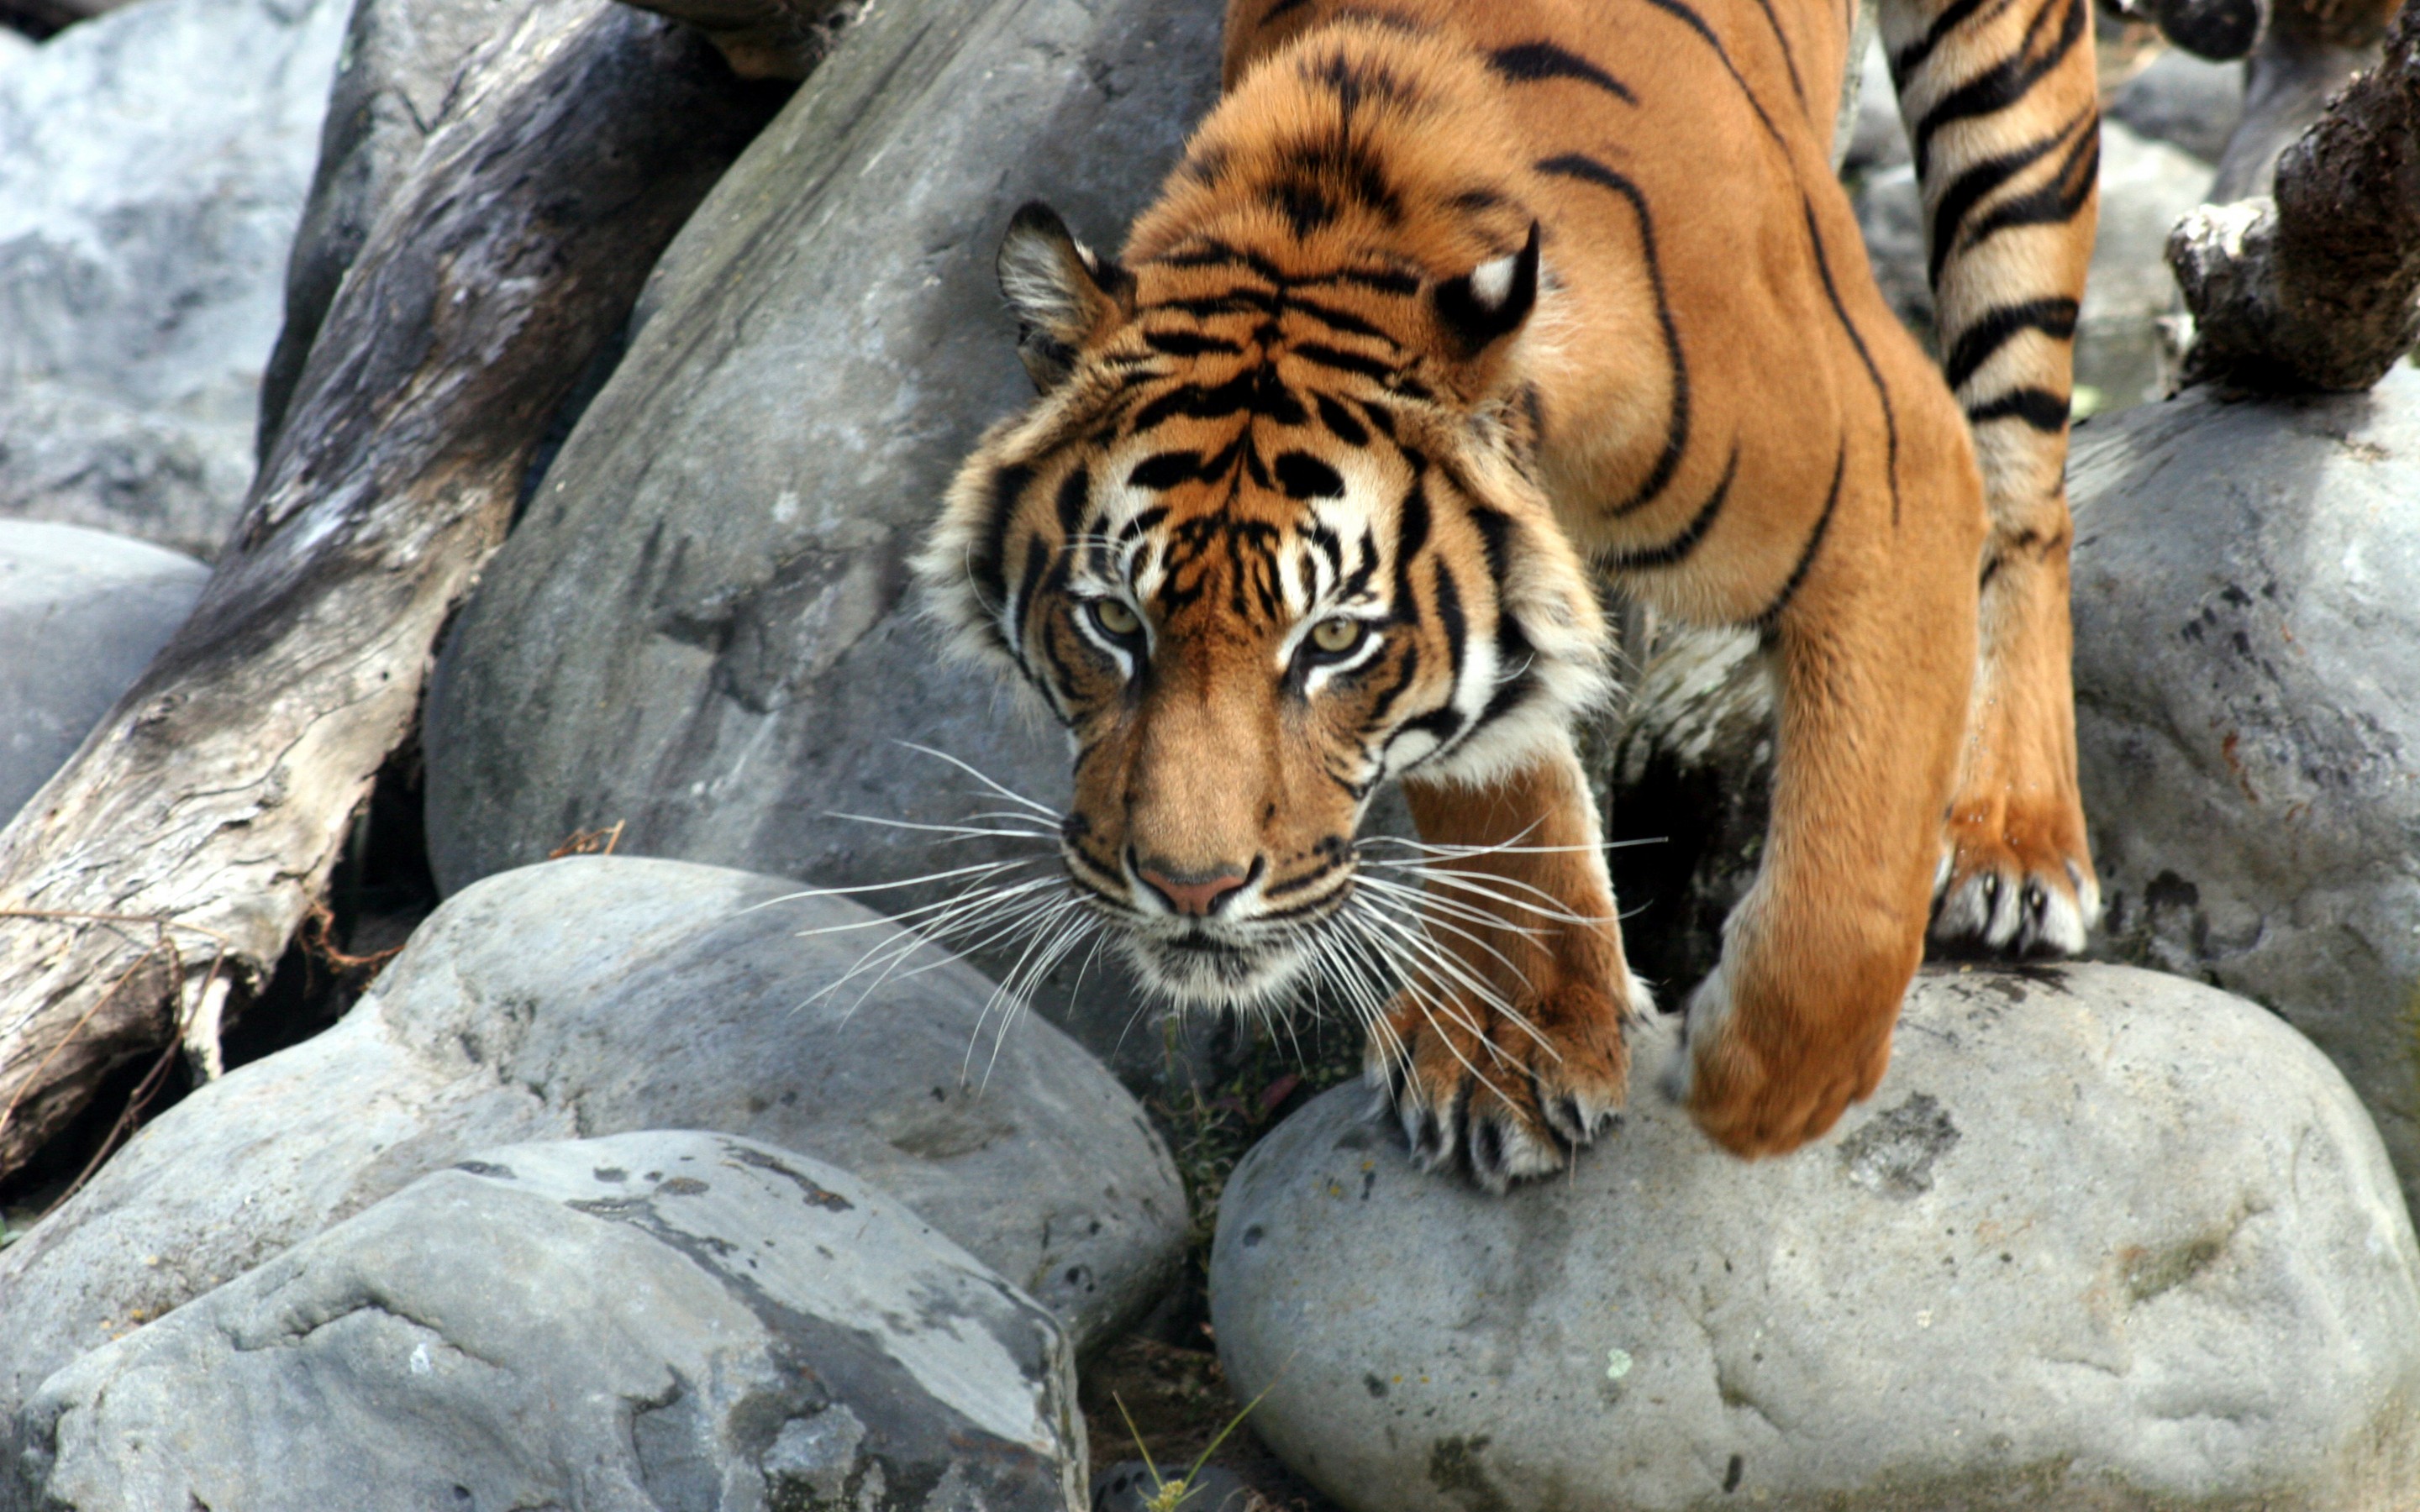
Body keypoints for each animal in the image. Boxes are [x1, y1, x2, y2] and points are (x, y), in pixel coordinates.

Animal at [909, 0, 2100, 1189]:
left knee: (2031, 475)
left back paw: (2012, 837)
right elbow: (1496, 779)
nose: (1188, 890)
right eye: (1115, 619)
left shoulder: (1893, 477)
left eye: (1332, 640)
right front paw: (1513, 1046)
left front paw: (1762, 1094)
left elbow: (1850, 877)